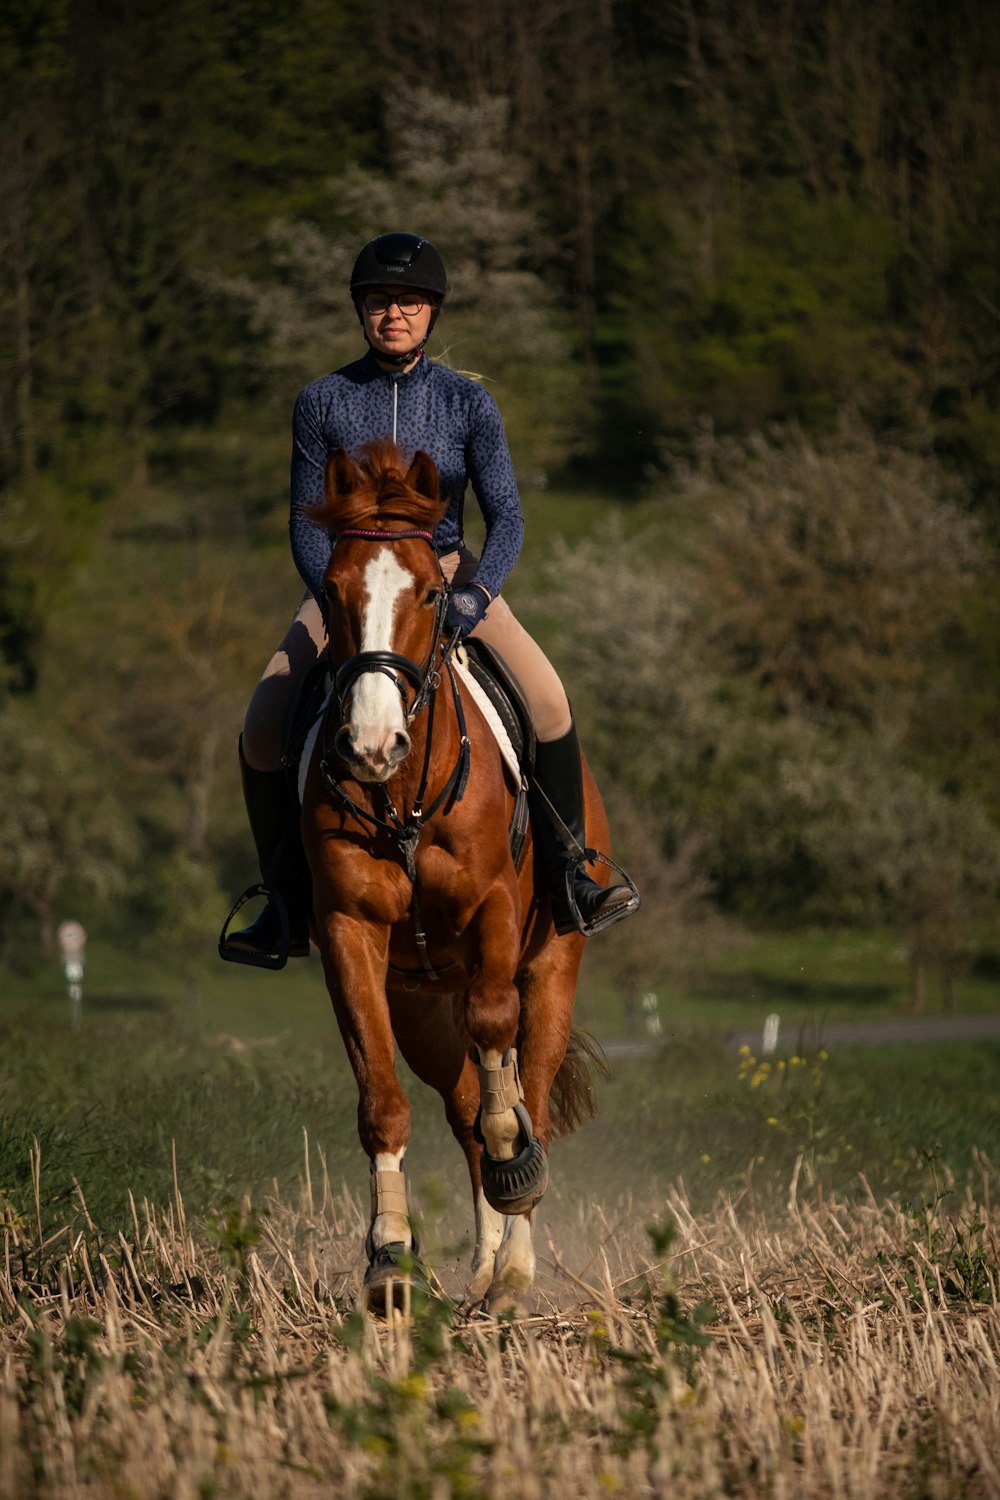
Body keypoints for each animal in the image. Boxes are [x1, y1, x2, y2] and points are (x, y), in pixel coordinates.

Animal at [296, 438, 611, 1314]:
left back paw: (513, 1271)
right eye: (332, 591)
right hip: (422, 1007)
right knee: (466, 1101)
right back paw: (481, 1267)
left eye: (434, 592)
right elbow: (382, 1104)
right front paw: (390, 1262)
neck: (400, 798)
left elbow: (506, 1069)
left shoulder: (496, 914)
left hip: (554, 966)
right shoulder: (351, 939)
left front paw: (516, 1170)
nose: (372, 745)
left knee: (524, 1083)